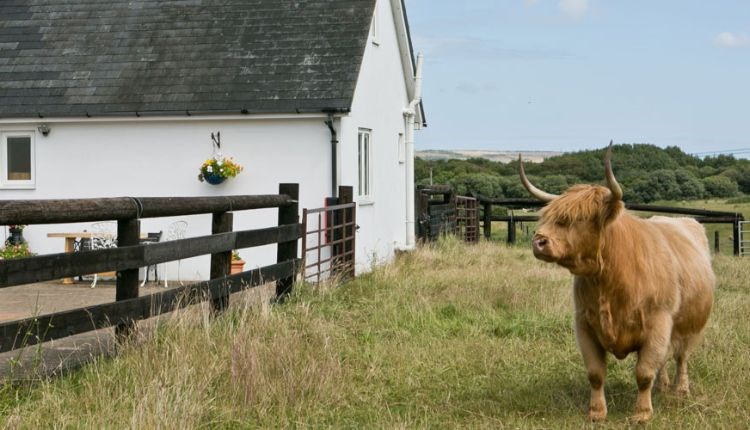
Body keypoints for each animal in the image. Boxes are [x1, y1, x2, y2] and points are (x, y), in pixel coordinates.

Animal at [519, 142, 714, 423]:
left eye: (577, 218)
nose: (539, 241)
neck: (608, 281)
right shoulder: (584, 324)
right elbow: (595, 373)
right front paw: (596, 412)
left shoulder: (658, 323)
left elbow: (644, 372)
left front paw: (642, 414)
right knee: (666, 359)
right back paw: (663, 386)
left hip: (690, 324)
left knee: (681, 356)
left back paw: (680, 390)